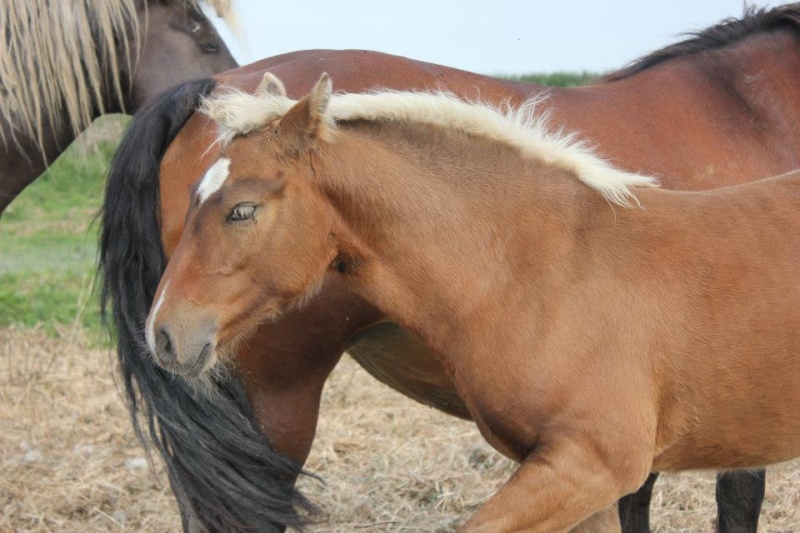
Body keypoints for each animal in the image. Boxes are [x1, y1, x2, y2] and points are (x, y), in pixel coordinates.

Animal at [98, 5, 800, 532]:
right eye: (197, 198)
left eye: (241, 209)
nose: (163, 331)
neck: (543, 260)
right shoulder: (586, 467)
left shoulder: (598, 467)